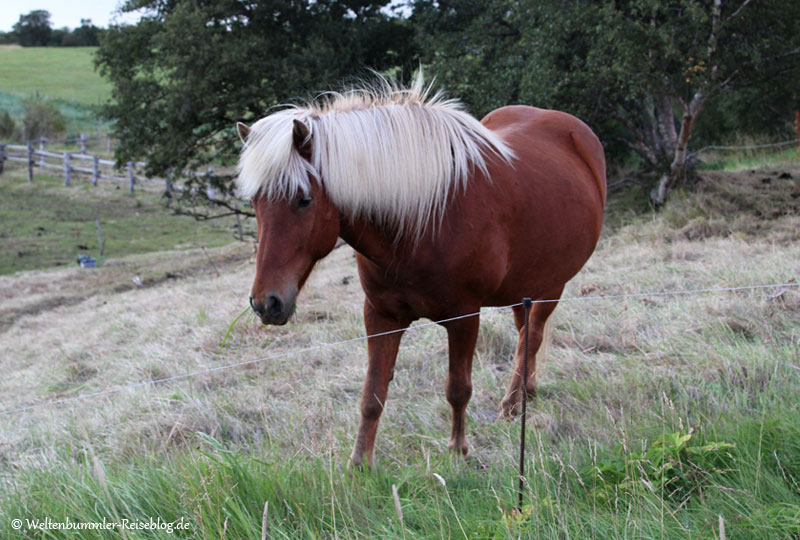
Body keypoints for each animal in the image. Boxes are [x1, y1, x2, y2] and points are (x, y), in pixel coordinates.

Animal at [236, 75, 608, 468]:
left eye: (304, 199)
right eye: (255, 202)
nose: (266, 303)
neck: (420, 221)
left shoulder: (464, 318)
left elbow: (458, 389)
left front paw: (458, 451)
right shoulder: (381, 315)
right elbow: (372, 394)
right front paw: (359, 465)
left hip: (553, 284)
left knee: (531, 336)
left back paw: (511, 403)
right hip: (523, 287)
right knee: (525, 335)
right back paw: (525, 396)